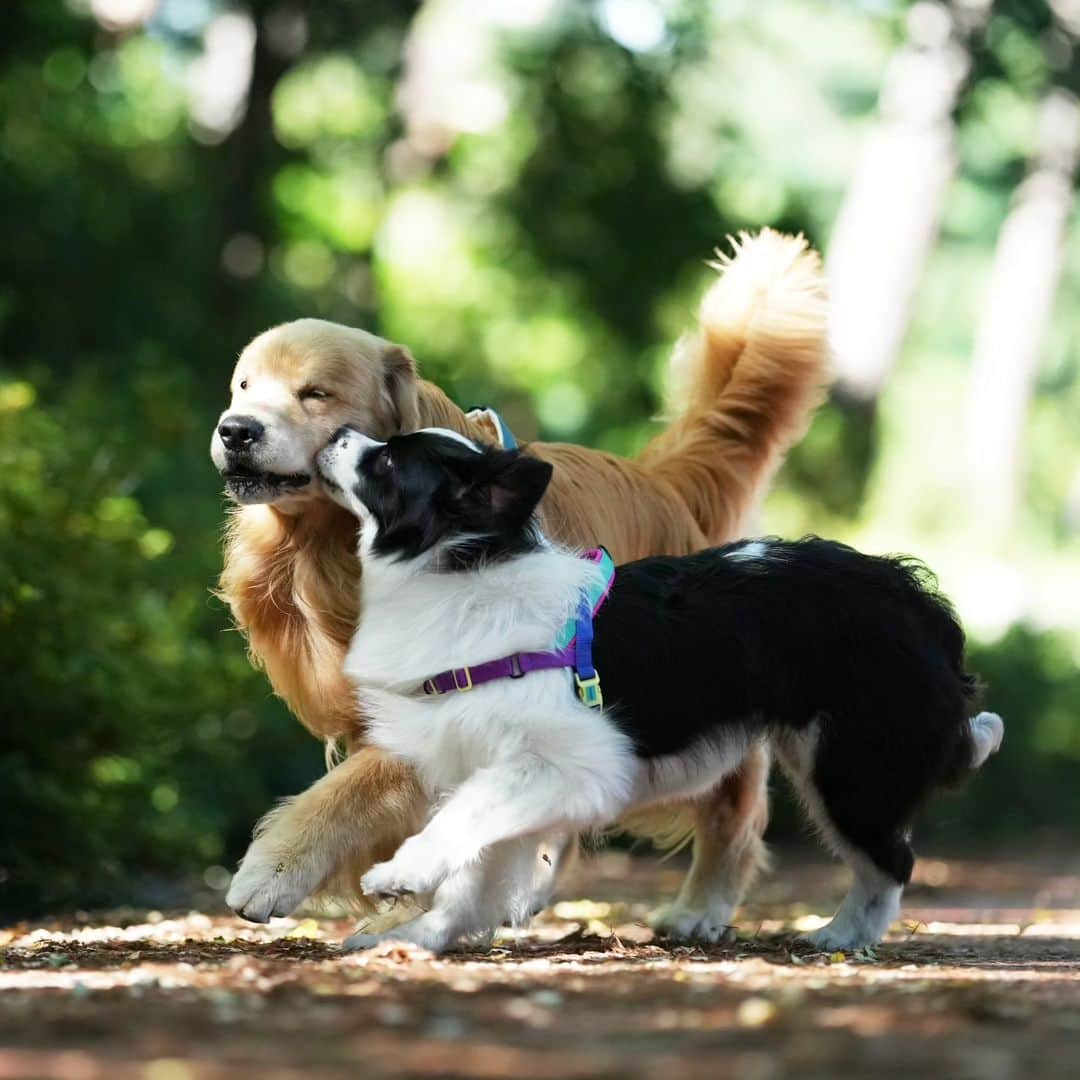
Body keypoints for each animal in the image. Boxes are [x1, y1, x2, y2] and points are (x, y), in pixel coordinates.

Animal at [313, 425, 1002, 950]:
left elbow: (465, 817)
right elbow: (476, 869)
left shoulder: (567, 763)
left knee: (891, 861)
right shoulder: (501, 769)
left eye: (388, 462)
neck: (460, 571)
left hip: (847, 767)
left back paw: (844, 937)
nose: (339, 431)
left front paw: (401, 873)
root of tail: (914, 598)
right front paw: (422, 936)